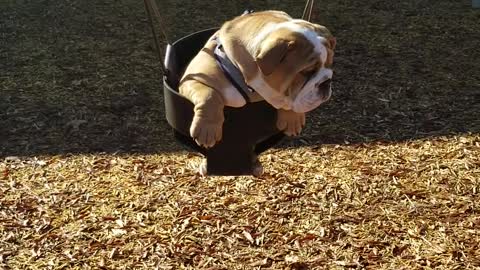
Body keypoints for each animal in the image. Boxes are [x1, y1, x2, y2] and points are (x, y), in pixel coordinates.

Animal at [178, 10, 336, 173]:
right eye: (306, 72)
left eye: (330, 64)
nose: (326, 81)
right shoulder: (193, 78)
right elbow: (210, 96)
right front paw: (207, 129)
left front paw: (293, 118)